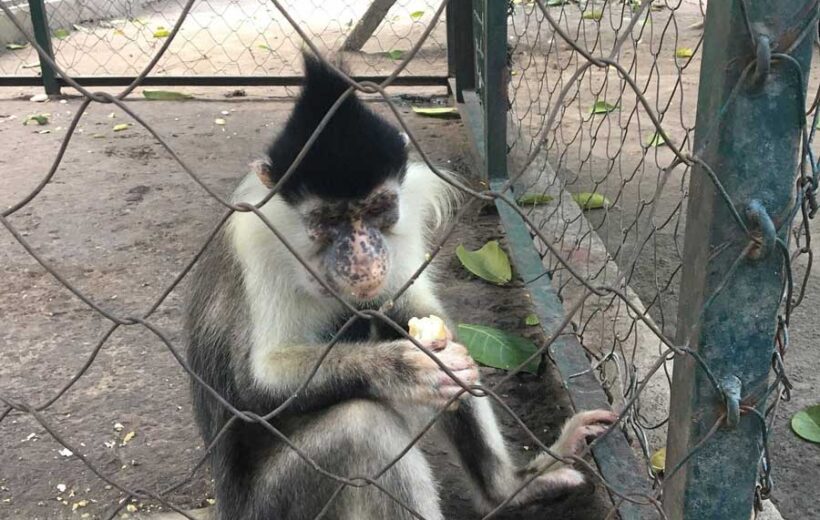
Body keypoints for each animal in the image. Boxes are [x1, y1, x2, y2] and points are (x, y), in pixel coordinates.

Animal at [184, 53, 616, 520]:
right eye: (329, 220)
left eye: (377, 208)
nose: (362, 256)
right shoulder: (254, 238)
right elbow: (252, 386)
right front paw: (403, 369)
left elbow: (417, 315)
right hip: (272, 504)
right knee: (362, 426)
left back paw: (507, 491)